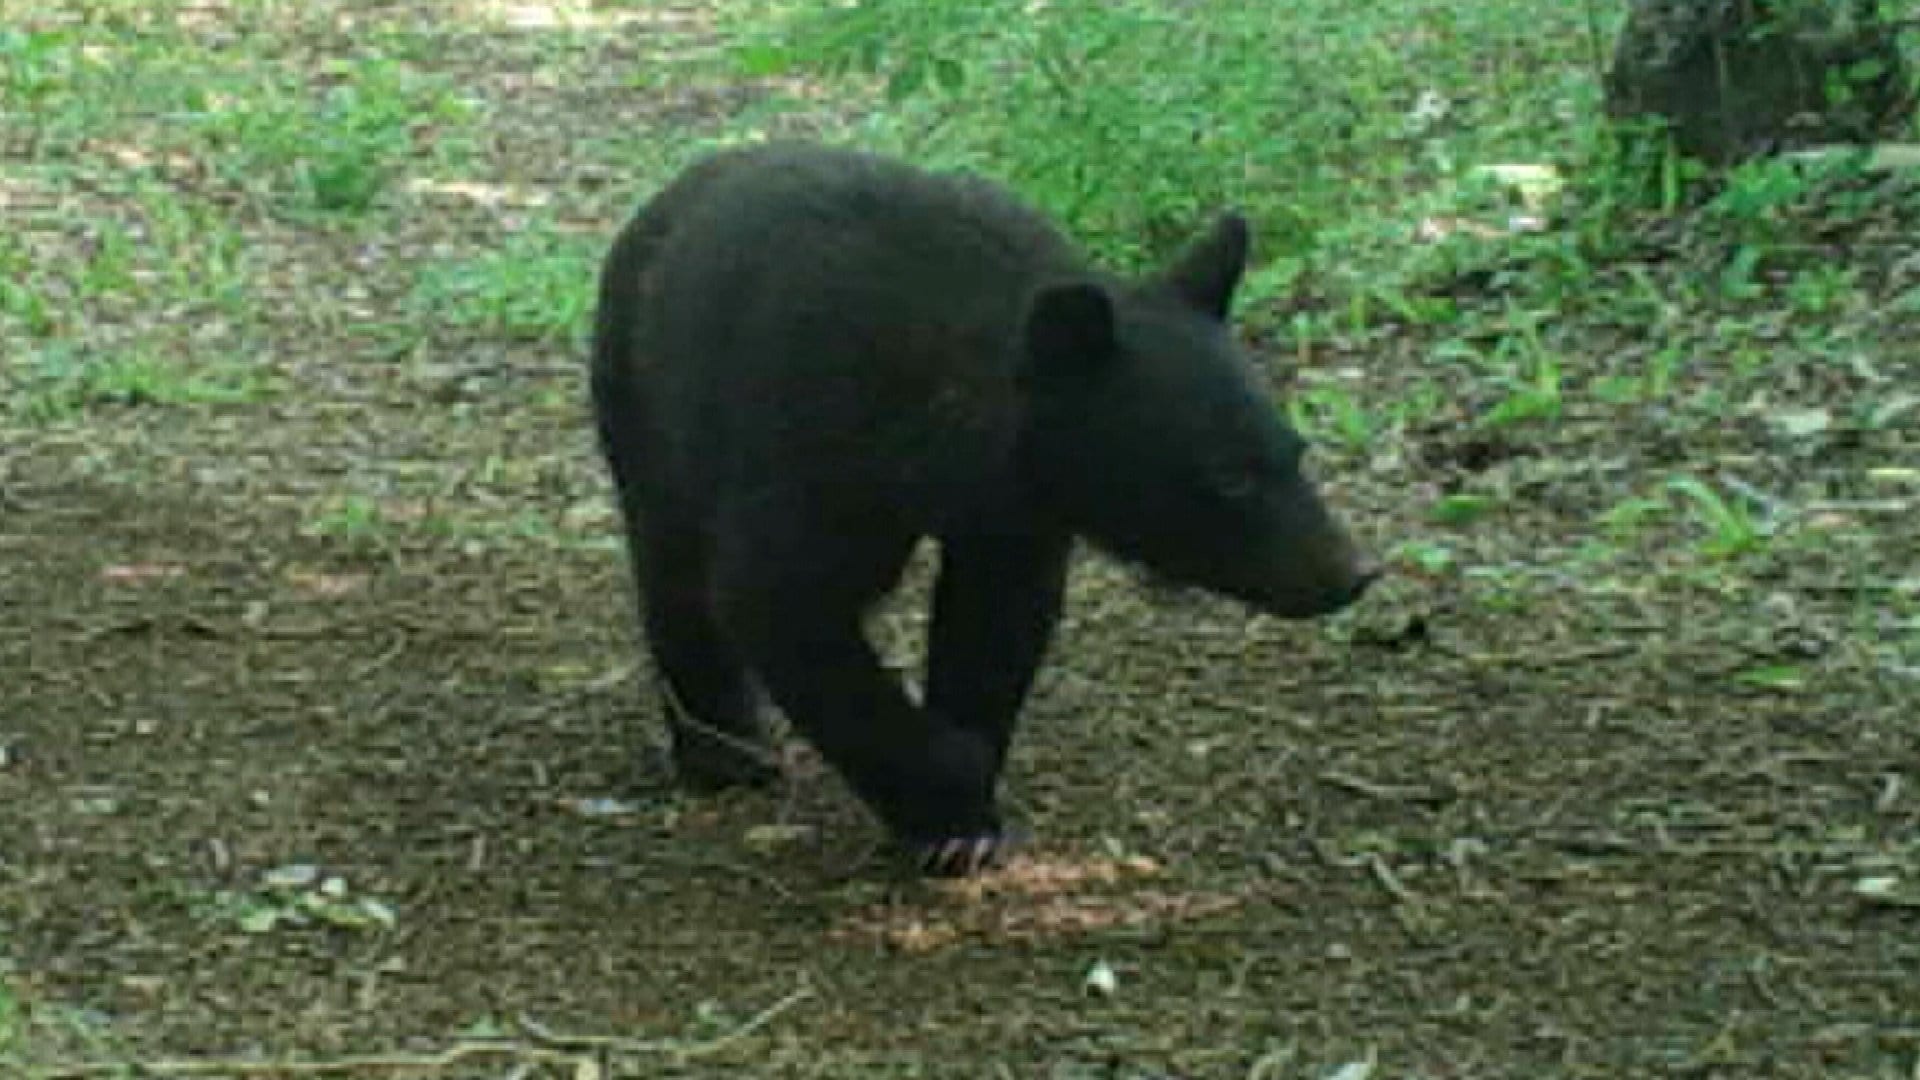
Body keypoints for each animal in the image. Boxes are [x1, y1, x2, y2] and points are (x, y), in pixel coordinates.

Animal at [590, 142, 1378, 876]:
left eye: (1296, 451)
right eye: (1229, 479)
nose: (1353, 572)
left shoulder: (1012, 510)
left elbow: (995, 618)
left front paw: (965, 795)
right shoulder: (808, 429)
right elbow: (779, 599)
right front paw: (948, 796)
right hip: (647, 409)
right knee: (674, 573)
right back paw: (724, 750)